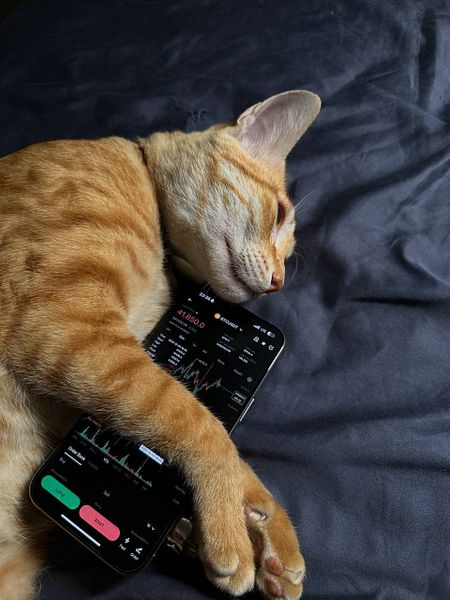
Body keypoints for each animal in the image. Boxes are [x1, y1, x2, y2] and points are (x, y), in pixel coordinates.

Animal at [0, 90, 321, 600]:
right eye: (279, 215)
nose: (278, 284)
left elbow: (229, 447)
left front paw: (266, 528)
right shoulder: (67, 328)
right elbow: (201, 425)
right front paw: (228, 531)